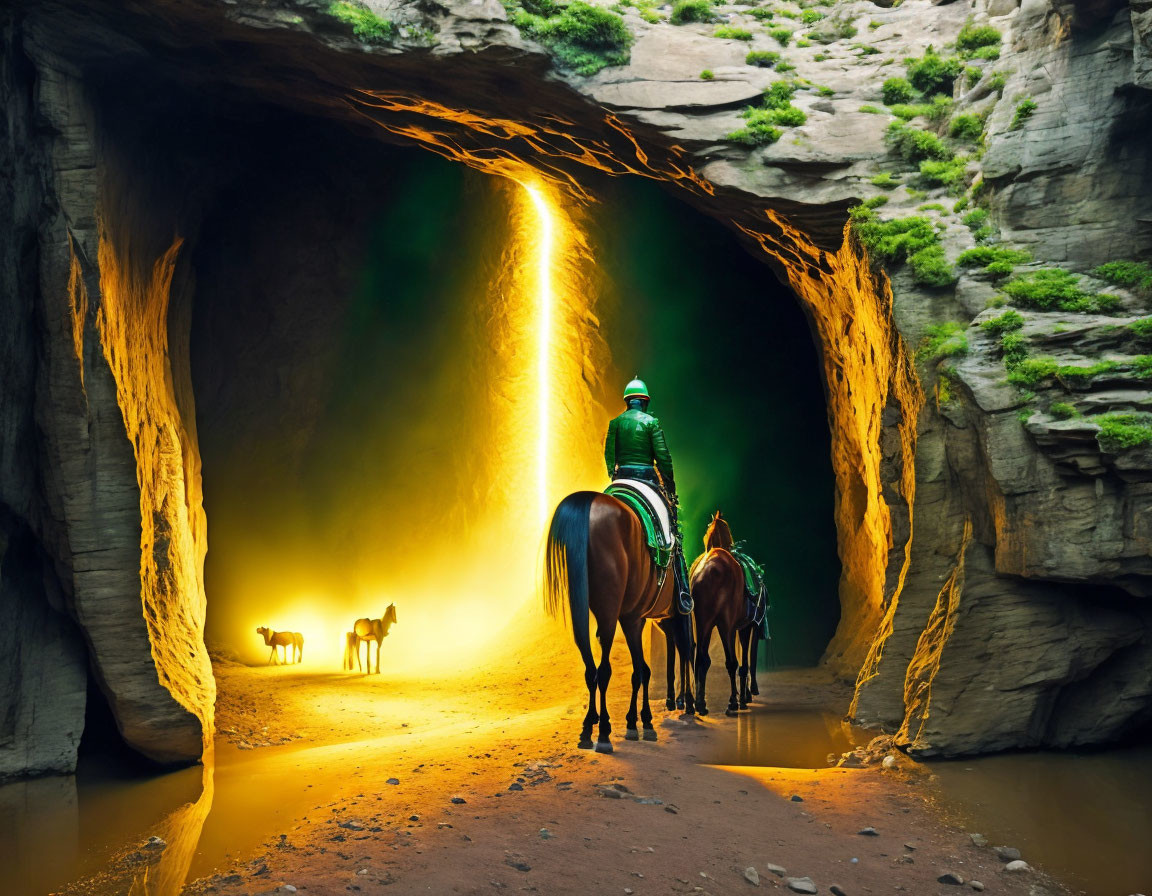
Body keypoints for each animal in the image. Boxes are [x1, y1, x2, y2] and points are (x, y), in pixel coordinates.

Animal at [546, 492, 695, 750]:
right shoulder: (637, 619)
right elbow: (642, 671)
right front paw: (642, 721)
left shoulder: (634, 618)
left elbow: (641, 669)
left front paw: (636, 721)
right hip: (614, 611)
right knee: (606, 668)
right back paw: (605, 731)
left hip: (586, 606)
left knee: (591, 666)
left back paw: (588, 728)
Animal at [686, 513, 760, 714]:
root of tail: (710, 570)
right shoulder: (740, 625)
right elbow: (742, 662)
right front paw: (742, 698)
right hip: (725, 624)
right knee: (731, 662)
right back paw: (733, 702)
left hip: (702, 622)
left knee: (701, 658)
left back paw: (701, 704)